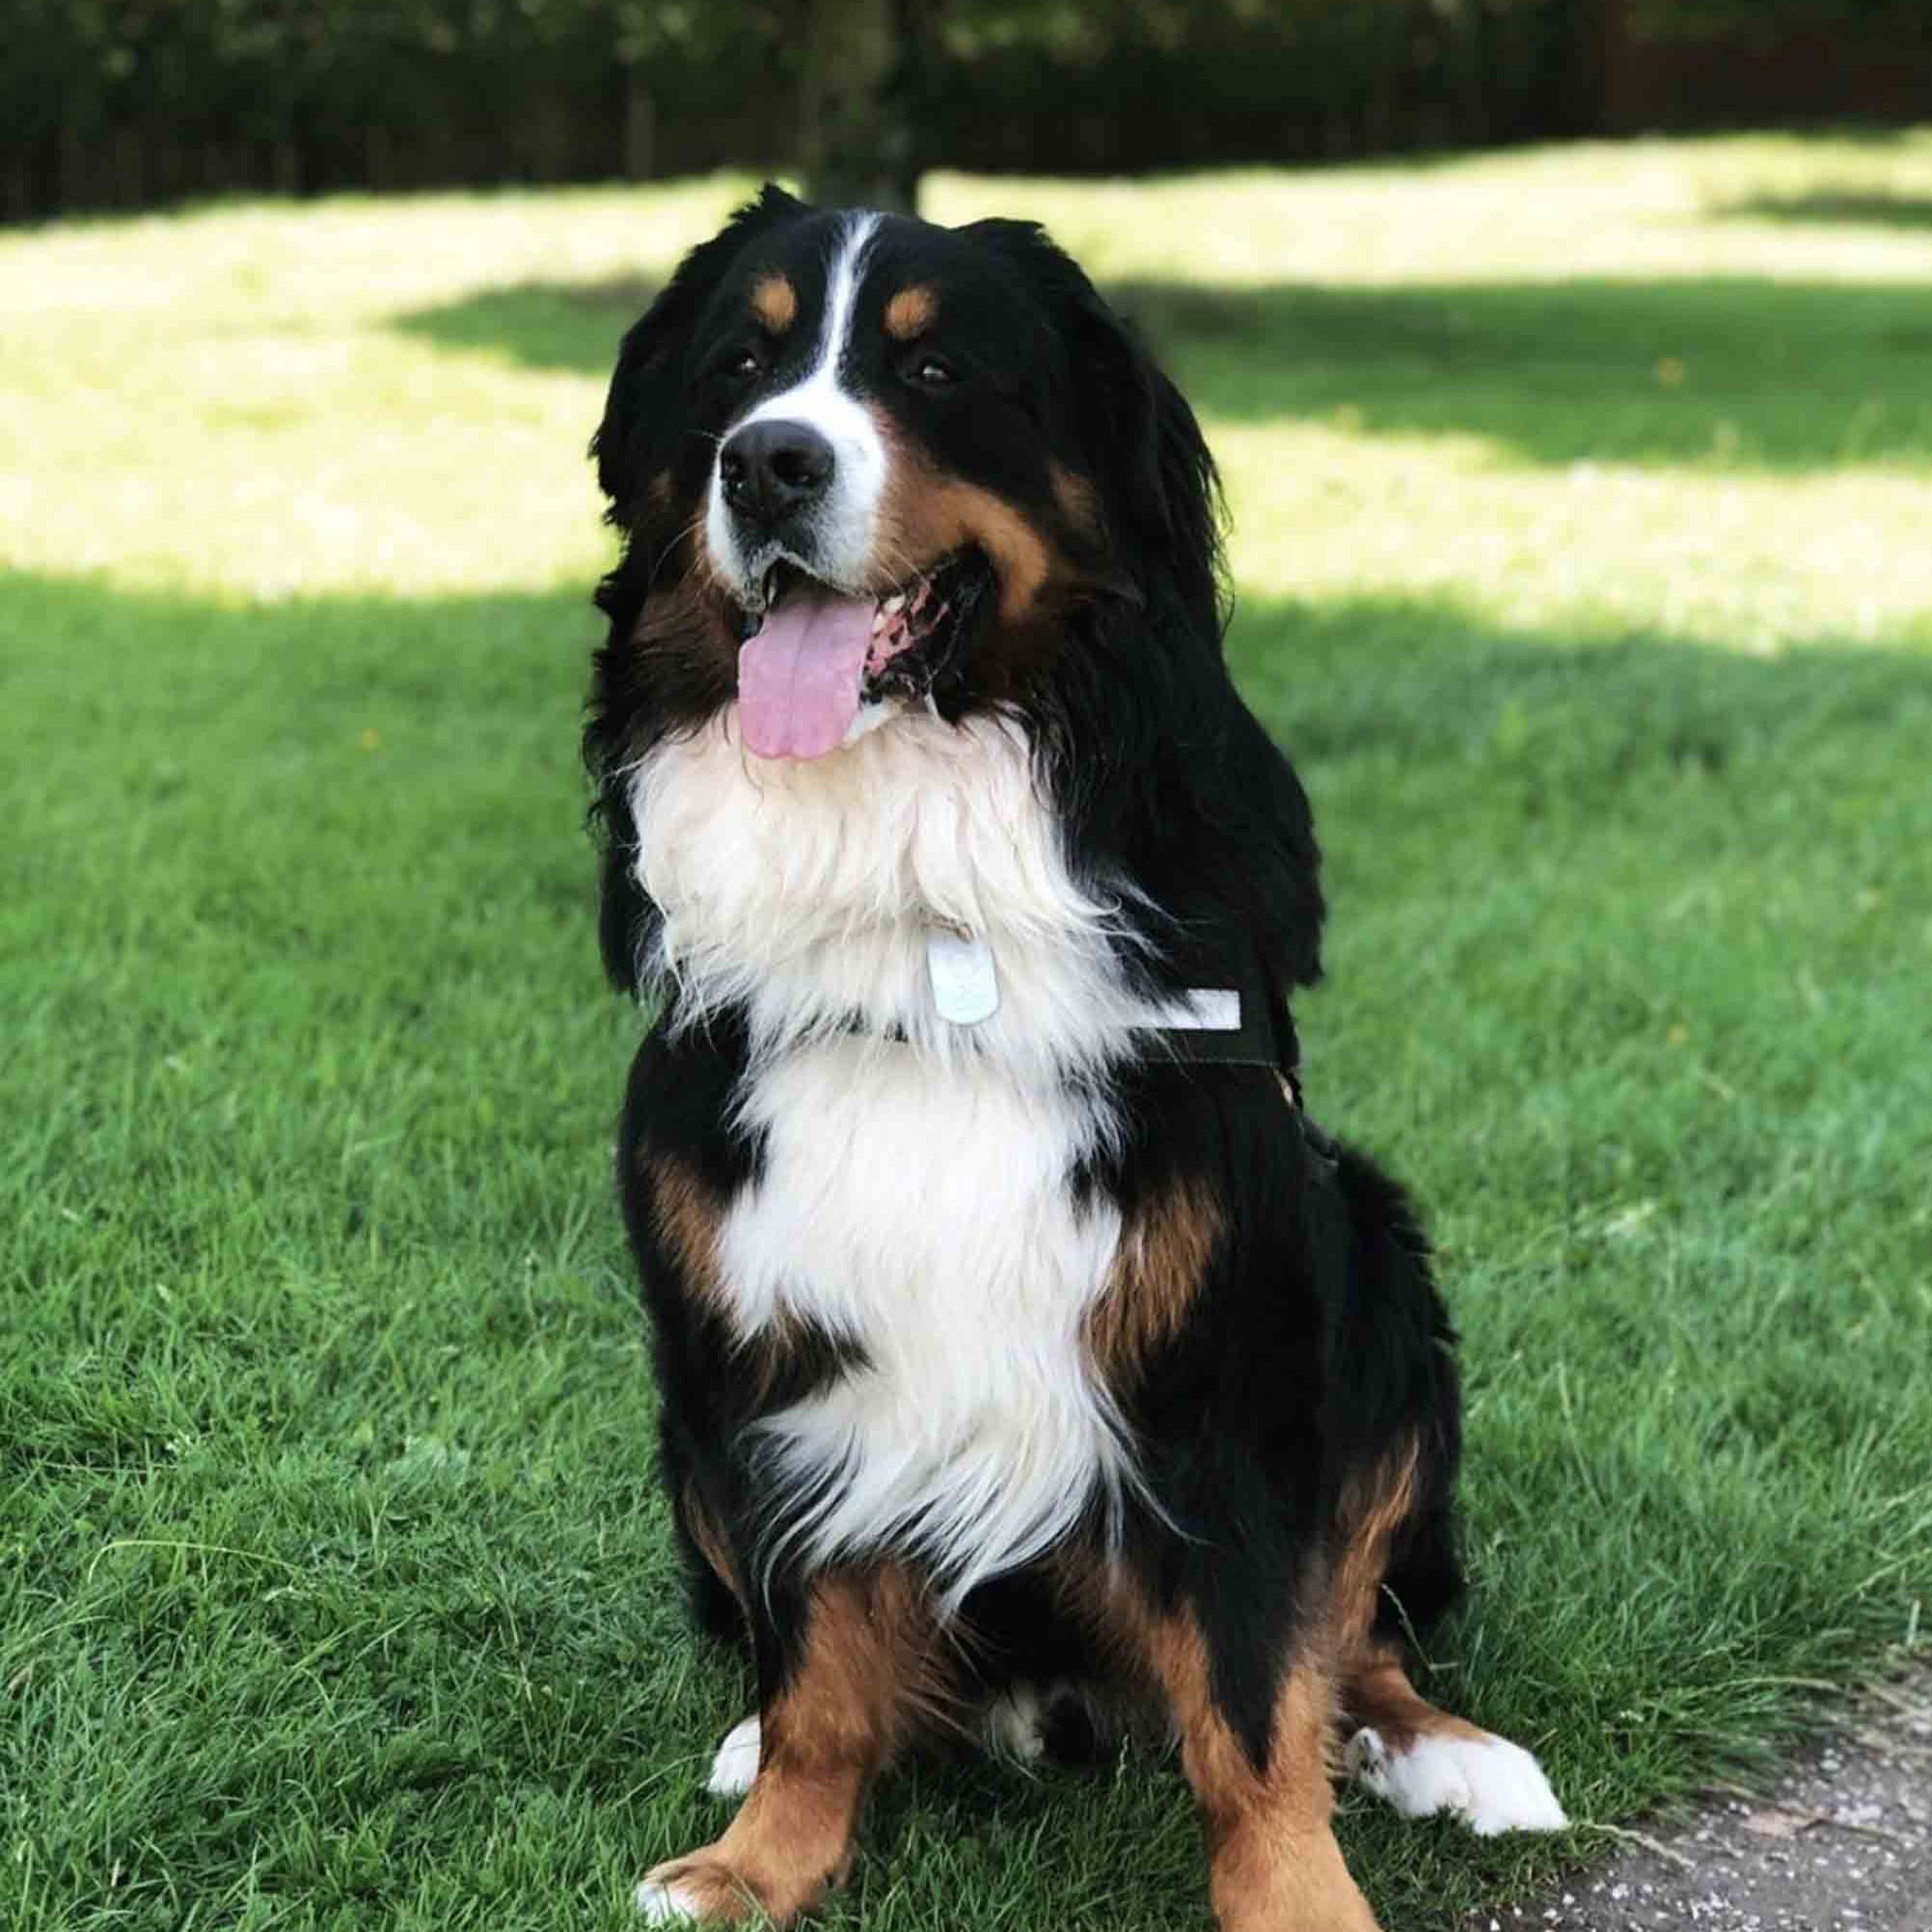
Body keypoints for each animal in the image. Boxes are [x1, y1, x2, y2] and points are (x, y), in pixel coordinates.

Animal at [579, 184, 1561, 1932]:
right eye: (740, 363)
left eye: (934, 367)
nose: (765, 463)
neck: (914, 888)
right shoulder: (757, 1323)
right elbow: (814, 1660)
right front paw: (762, 1858)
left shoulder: (1216, 1331)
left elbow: (1250, 1688)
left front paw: (1296, 1896)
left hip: (1366, 1245)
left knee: (1352, 1628)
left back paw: (1445, 1748)